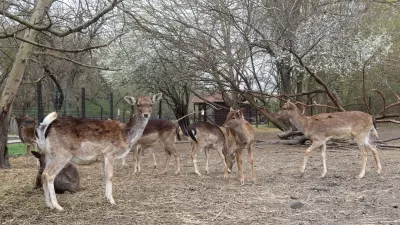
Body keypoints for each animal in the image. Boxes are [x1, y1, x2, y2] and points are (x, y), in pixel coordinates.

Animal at [34, 92, 162, 210]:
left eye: (151, 104)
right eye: (138, 104)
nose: (146, 114)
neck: (125, 135)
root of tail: (46, 129)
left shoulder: (103, 157)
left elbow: (105, 176)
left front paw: (106, 198)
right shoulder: (110, 153)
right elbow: (110, 176)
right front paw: (112, 201)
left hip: (49, 155)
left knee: (43, 174)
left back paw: (49, 205)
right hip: (61, 154)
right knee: (49, 175)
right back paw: (57, 206)